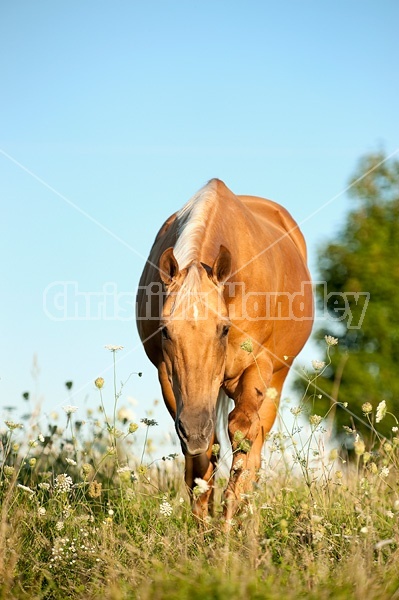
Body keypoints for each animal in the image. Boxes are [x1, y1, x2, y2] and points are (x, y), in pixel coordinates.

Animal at [138, 179, 316, 520]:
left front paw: (228, 520)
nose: (194, 427)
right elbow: (200, 457)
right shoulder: (169, 380)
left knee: (257, 442)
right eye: (166, 331)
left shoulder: (257, 368)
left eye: (223, 329)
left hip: (275, 379)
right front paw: (203, 524)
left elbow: (244, 435)